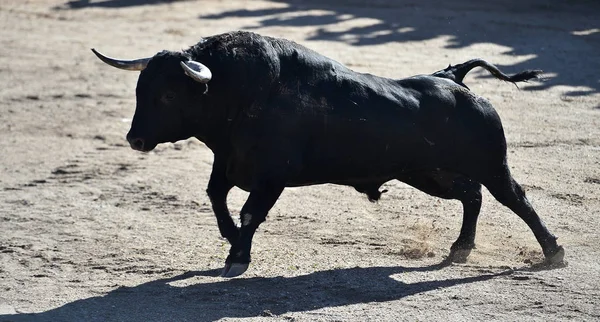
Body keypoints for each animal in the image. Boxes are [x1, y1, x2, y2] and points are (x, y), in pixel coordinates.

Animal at [92, 31, 564, 276]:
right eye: (141, 90)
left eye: (169, 95)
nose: (135, 140)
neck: (238, 92)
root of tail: (453, 79)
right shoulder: (227, 162)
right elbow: (216, 195)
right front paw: (229, 240)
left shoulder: (271, 176)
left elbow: (249, 211)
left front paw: (237, 258)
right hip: (428, 173)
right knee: (472, 195)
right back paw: (460, 249)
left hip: (489, 164)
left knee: (514, 198)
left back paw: (552, 252)